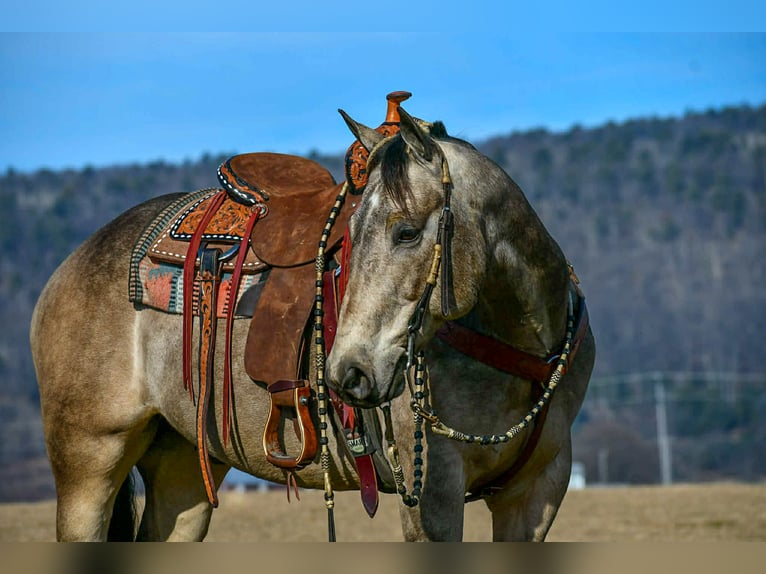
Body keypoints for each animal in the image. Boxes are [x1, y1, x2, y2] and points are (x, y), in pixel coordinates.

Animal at [31, 103, 595, 542]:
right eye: (352, 235)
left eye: (408, 232)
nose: (349, 373)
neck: (518, 345)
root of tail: (68, 268)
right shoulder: (432, 492)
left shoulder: (538, 492)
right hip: (88, 464)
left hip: (183, 467)